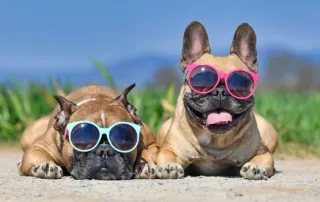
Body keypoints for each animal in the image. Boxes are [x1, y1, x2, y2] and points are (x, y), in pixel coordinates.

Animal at [18, 83, 158, 180]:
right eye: (83, 140)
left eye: (124, 140)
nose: (105, 151)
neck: (98, 99)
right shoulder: (38, 147)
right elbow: (38, 153)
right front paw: (46, 165)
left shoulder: (151, 142)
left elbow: (147, 151)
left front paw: (144, 165)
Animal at [154, 21, 278, 180]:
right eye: (201, 81)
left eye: (240, 83)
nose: (220, 91)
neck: (215, 141)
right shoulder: (169, 148)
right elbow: (166, 154)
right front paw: (169, 166)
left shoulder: (263, 150)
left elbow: (264, 157)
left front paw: (256, 167)